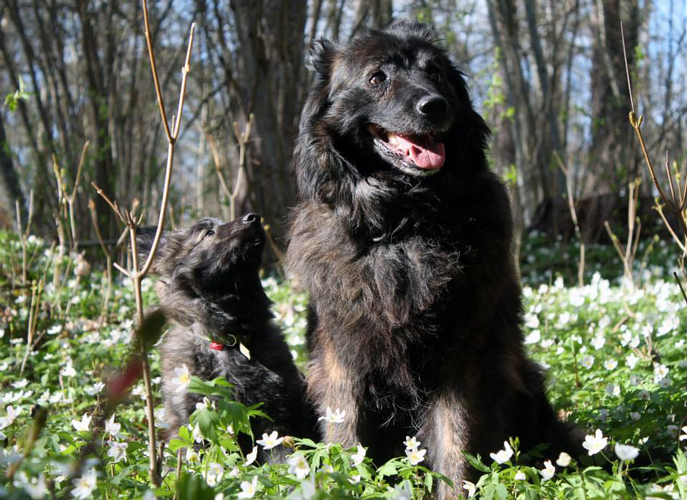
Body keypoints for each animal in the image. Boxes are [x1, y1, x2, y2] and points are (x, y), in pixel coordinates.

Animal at [137, 215, 318, 460]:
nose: (253, 217)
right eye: (208, 233)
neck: (229, 340)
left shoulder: (276, 416)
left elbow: (280, 457)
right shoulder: (192, 424)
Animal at [288, 20, 576, 500]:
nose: (434, 105)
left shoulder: (461, 357)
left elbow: (454, 446)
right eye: (377, 78)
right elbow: (346, 439)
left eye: (436, 74)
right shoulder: (343, 362)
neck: (404, 225)